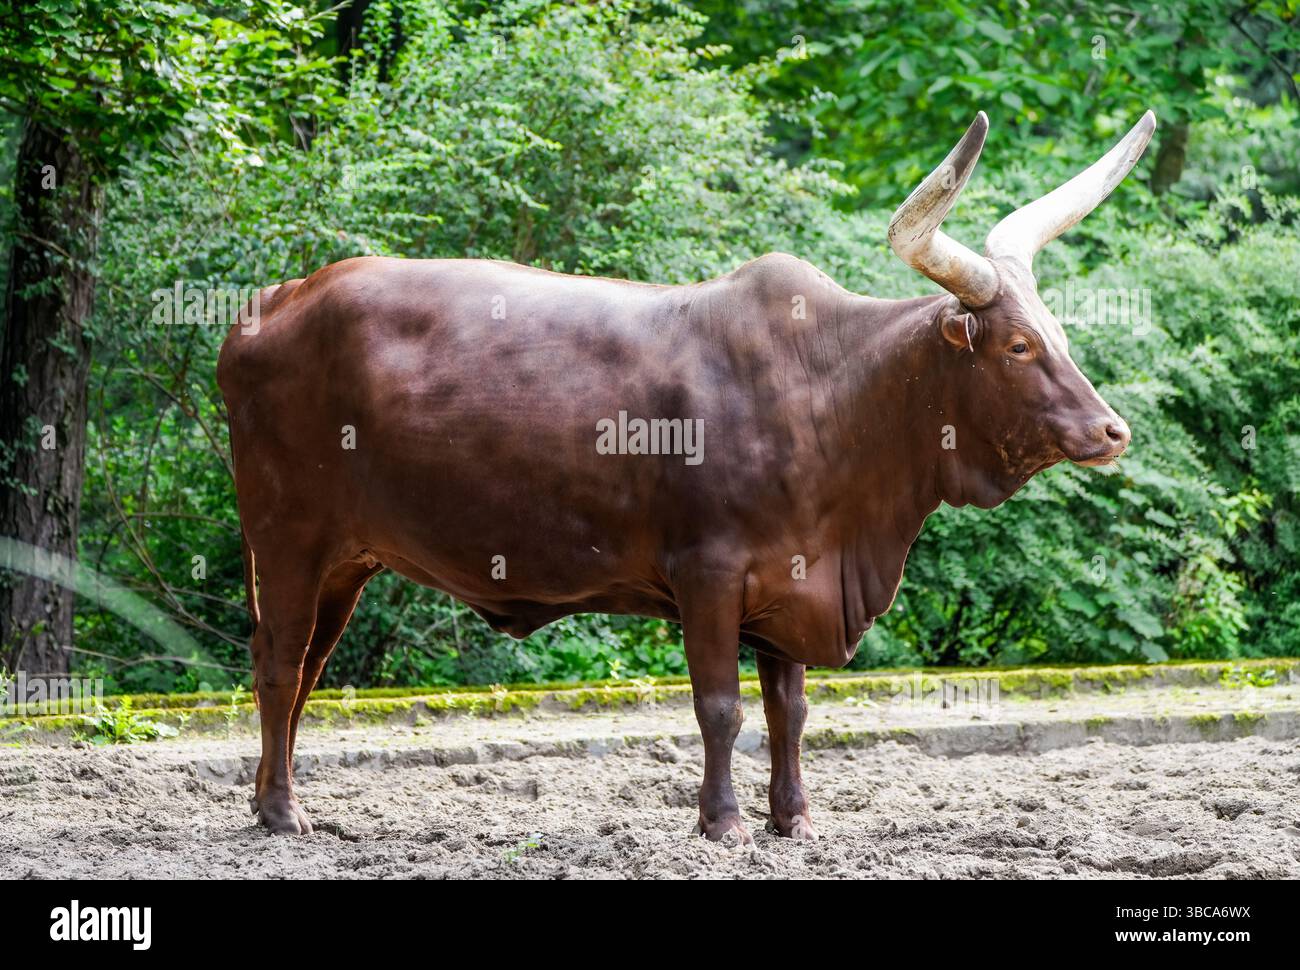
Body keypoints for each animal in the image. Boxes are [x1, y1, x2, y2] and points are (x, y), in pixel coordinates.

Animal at [218, 110, 1154, 841]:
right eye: (1018, 345)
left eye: (1056, 330)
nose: (1112, 430)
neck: (832, 397)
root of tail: (274, 301)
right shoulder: (708, 574)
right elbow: (721, 706)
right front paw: (725, 822)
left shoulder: (792, 585)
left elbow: (789, 712)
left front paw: (793, 818)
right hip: (287, 538)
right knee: (279, 663)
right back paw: (282, 813)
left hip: (346, 559)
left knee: (304, 669)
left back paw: (275, 802)